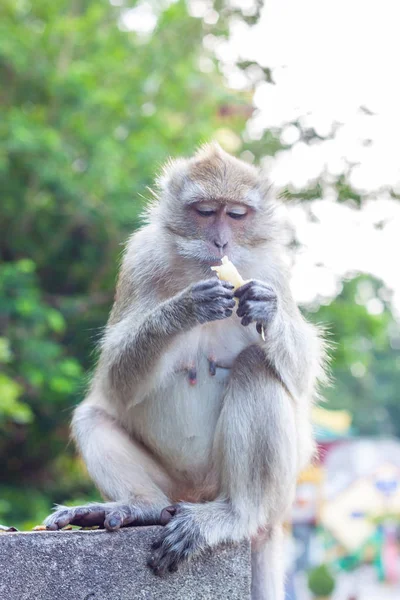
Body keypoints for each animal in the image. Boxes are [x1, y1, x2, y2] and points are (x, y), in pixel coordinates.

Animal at [44, 143, 324, 596]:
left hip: (272, 494)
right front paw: (185, 308)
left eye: (237, 214)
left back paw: (236, 515)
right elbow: (116, 381)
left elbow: (301, 376)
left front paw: (268, 308)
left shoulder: (274, 268)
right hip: (174, 487)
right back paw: (141, 507)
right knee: (92, 415)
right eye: (206, 211)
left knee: (258, 367)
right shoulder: (140, 258)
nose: (221, 240)